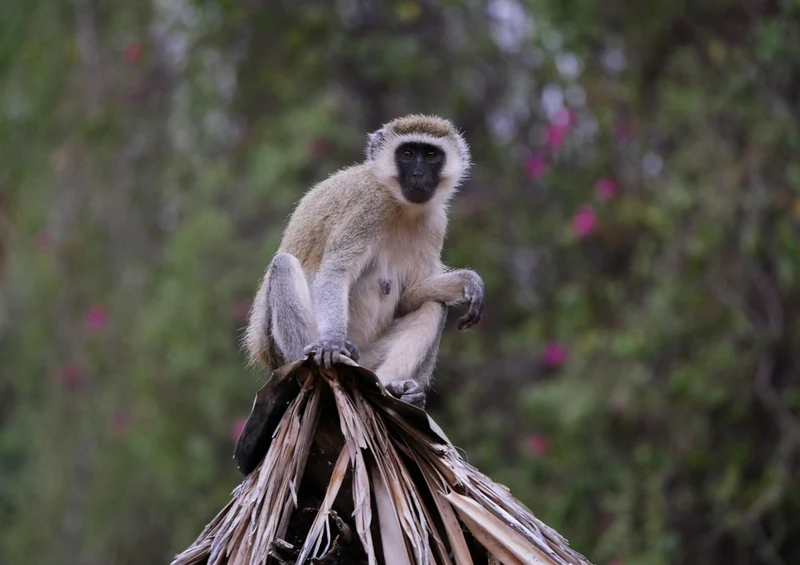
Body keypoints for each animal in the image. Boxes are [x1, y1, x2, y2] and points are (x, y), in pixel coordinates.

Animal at [243, 114, 484, 409]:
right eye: (406, 154)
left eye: (430, 155)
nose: (418, 174)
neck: (398, 204)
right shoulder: (369, 206)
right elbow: (336, 270)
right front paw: (332, 342)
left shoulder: (436, 222)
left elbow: (411, 296)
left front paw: (466, 281)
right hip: (281, 352)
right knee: (283, 266)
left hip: (368, 359)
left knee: (433, 305)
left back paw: (395, 388)